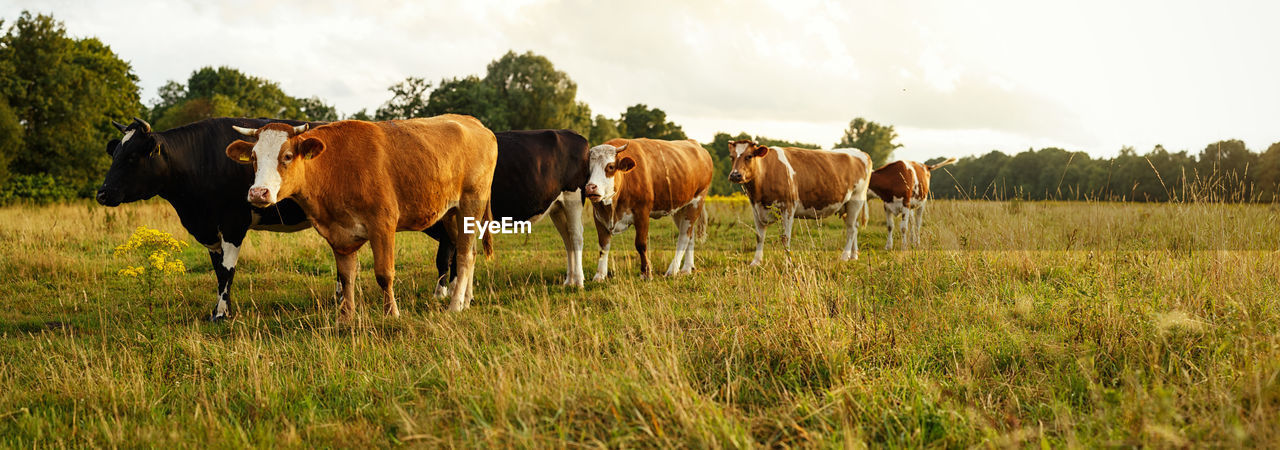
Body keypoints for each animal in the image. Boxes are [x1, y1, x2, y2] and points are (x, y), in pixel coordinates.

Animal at [94, 116, 320, 319]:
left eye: (132, 156)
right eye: (115, 154)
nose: (102, 194)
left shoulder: (233, 225)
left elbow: (227, 270)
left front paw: (221, 314)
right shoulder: (211, 230)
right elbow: (218, 271)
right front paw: (218, 311)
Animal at [225, 116, 494, 319]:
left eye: (288, 156)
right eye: (253, 158)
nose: (258, 192)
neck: (335, 166)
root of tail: (474, 122)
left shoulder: (383, 225)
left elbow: (384, 274)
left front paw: (392, 314)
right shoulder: (338, 233)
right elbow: (346, 276)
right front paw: (346, 317)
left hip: (472, 203)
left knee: (464, 256)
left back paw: (455, 305)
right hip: (451, 214)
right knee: (470, 253)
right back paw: (466, 299)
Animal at [427, 129, 591, 295]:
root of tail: (575, 135)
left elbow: (444, 258)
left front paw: (441, 293)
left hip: (573, 199)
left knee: (576, 237)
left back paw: (578, 281)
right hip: (557, 207)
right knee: (567, 238)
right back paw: (569, 281)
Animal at [586, 138, 716, 277]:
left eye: (610, 166)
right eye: (587, 168)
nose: (590, 187)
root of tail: (694, 143)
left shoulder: (642, 212)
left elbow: (640, 244)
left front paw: (646, 273)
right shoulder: (598, 216)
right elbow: (603, 245)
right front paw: (599, 275)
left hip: (696, 202)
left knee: (684, 237)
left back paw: (673, 270)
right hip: (680, 208)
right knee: (690, 235)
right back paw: (687, 268)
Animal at [727, 140, 875, 263]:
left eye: (749, 156)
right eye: (731, 157)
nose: (735, 175)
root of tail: (861, 152)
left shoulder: (788, 207)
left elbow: (785, 237)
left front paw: (788, 261)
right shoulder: (756, 208)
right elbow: (759, 236)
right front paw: (756, 262)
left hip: (856, 200)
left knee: (851, 229)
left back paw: (844, 257)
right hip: (846, 205)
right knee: (855, 226)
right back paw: (853, 256)